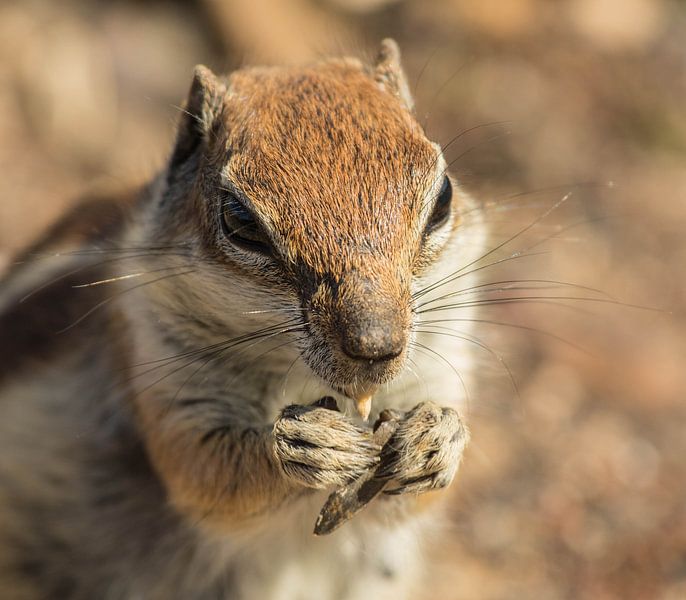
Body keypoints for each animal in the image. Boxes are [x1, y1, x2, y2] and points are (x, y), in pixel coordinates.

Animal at [0, 39, 486, 596]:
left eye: (444, 197)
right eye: (240, 221)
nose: (376, 346)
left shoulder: (441, 360)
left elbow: (430, 484)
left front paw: (436, 438)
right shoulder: (161, 367)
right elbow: (205, 472)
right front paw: (308, 445)